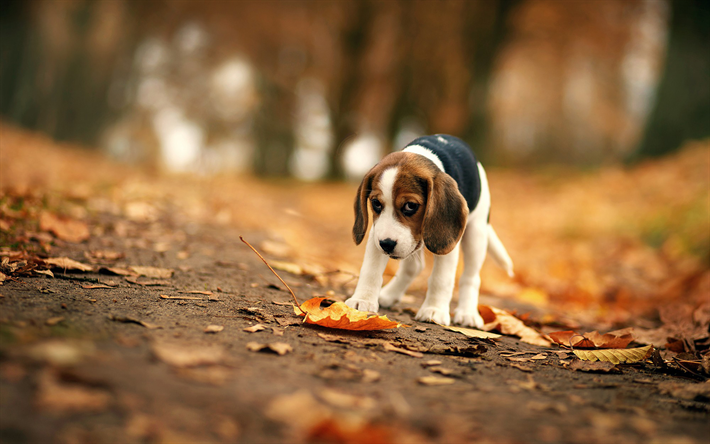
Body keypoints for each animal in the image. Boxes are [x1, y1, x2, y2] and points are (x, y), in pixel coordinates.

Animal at [344, 134, 512, 328]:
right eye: (376, 203)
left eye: (410, 205)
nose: (387, 244)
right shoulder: (376, 234)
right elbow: (370, 270)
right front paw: (362, 300)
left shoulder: (448, 246)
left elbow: (441, 279)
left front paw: (434, 310)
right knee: (414, 267)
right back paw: (389, 295)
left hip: (476, 233)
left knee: (471, 277)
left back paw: (468, 313)